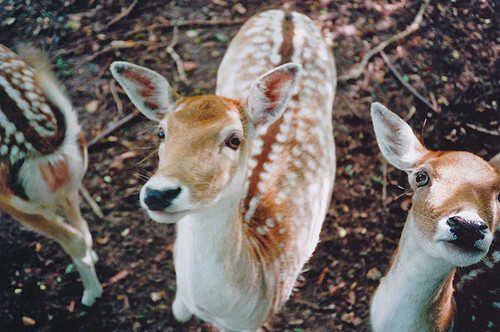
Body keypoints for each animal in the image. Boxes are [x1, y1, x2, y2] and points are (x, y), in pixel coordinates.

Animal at [0, 44, 101, 306]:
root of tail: (40, 143)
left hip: (13, 202)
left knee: (73, 239)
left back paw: (90, 295)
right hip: (71, 178)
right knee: (82, 227)